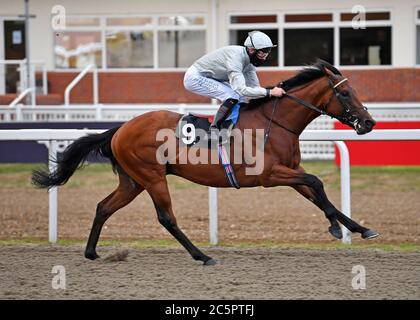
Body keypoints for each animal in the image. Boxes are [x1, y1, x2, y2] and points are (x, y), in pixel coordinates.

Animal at [32, 59, 378, 264]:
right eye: (345, 93)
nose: (369, 122)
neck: (275, 123)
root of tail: (120, 129)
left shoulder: (291, 171)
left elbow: (317, 193)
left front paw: (358, 228)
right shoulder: (270, 175)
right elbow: (317, 184)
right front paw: (337, 227)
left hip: (132, 181)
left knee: (104, 206)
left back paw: (91, 252)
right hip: (152, 178)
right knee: (166, 218)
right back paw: (202, 256)